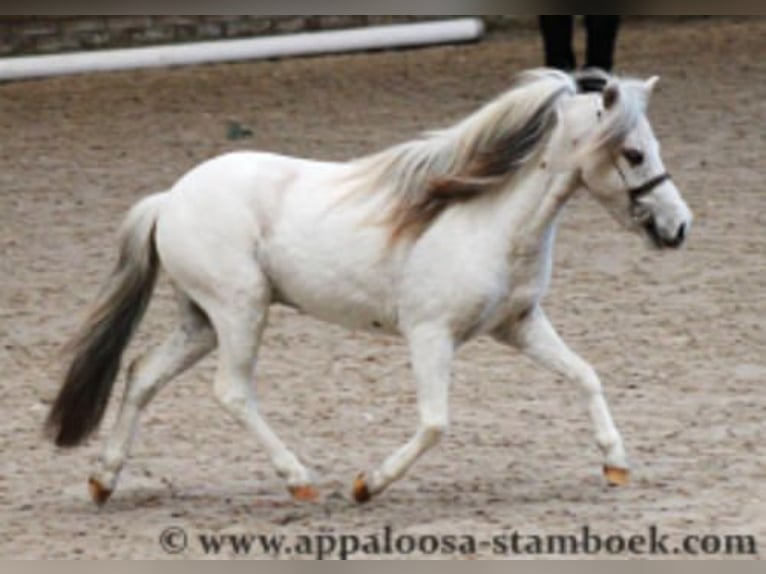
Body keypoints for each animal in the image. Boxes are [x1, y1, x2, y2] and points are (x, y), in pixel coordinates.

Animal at [45, 70, 692, 506]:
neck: (484, 217)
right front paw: (365, 485)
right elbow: (434, 423)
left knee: (142, 375)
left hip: (201, 321)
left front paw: (615, 465)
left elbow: (585, 374)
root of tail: (170, 199)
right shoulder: (429, 336)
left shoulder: (519, 324)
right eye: (634, 152)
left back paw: (103, 480)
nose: (678, 227)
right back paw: (300, 480)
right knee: (232, 392)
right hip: (240, 312)